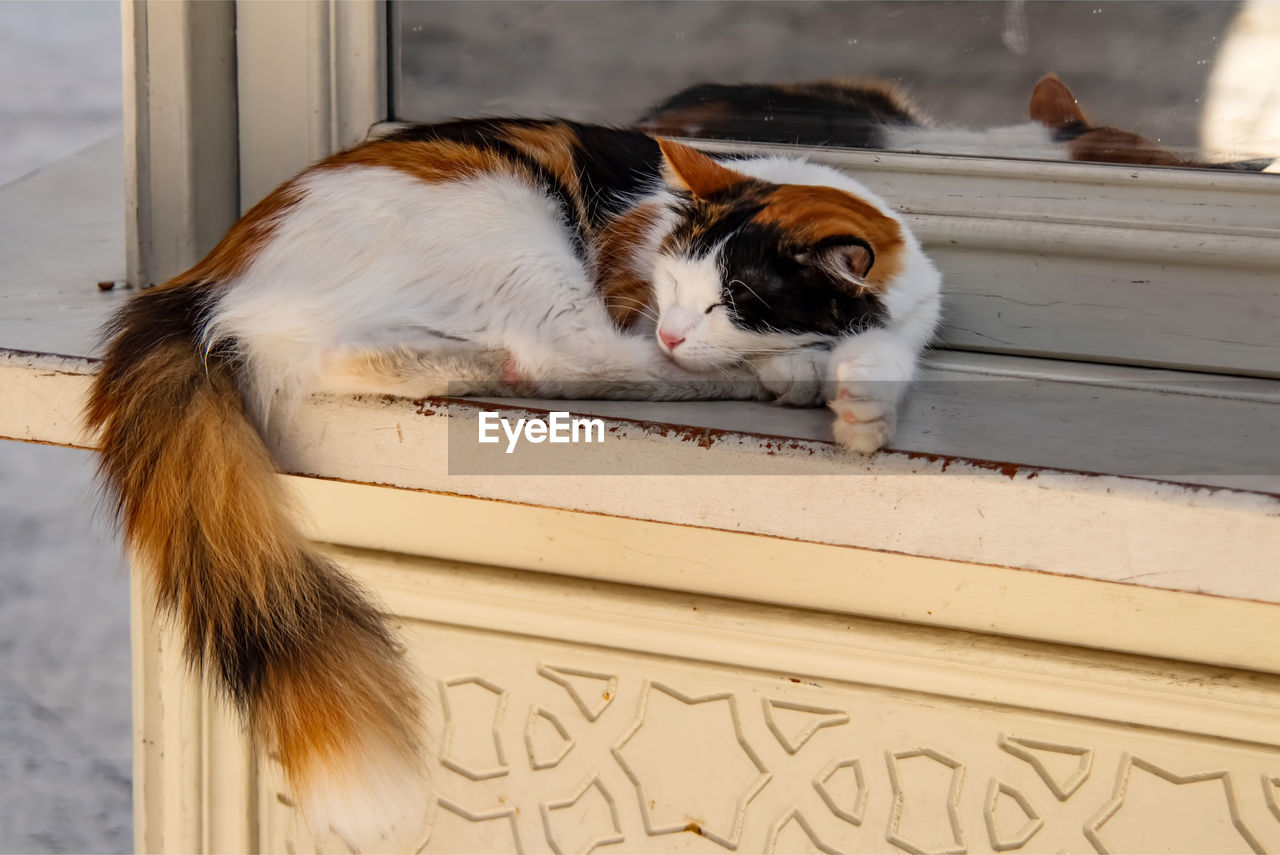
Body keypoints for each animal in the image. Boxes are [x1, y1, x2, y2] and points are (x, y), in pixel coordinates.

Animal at [87, 118, 942, 839]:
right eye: (673, 287)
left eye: (734, 301)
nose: (673, 329)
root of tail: (203, 272)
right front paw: (802, 368)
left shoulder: (907, 313)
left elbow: (885, 352)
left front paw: (863, 410)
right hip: (510, 216)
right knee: (572, 357)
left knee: (356, 358)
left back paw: (466, 362)